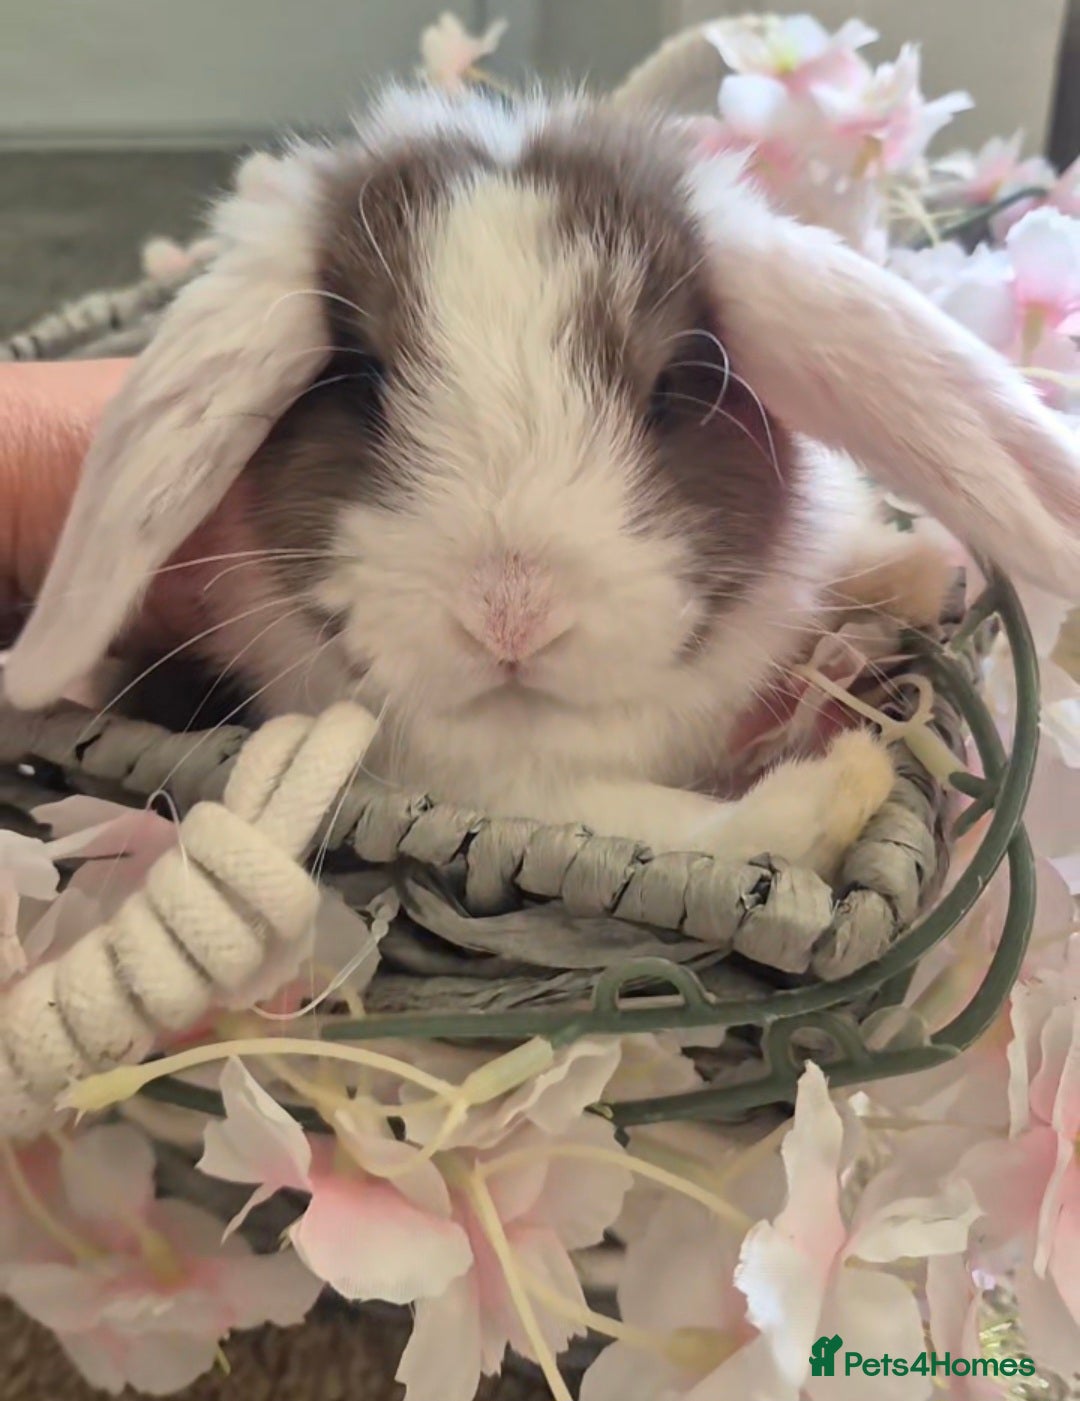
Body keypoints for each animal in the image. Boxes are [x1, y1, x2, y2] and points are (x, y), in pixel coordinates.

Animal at [6, 85, 1080, 880]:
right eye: (357, 380)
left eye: (675, 385)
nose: (511, 615)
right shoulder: (505, 793)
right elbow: (696, 831)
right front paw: (846, 779)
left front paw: (914, 579)